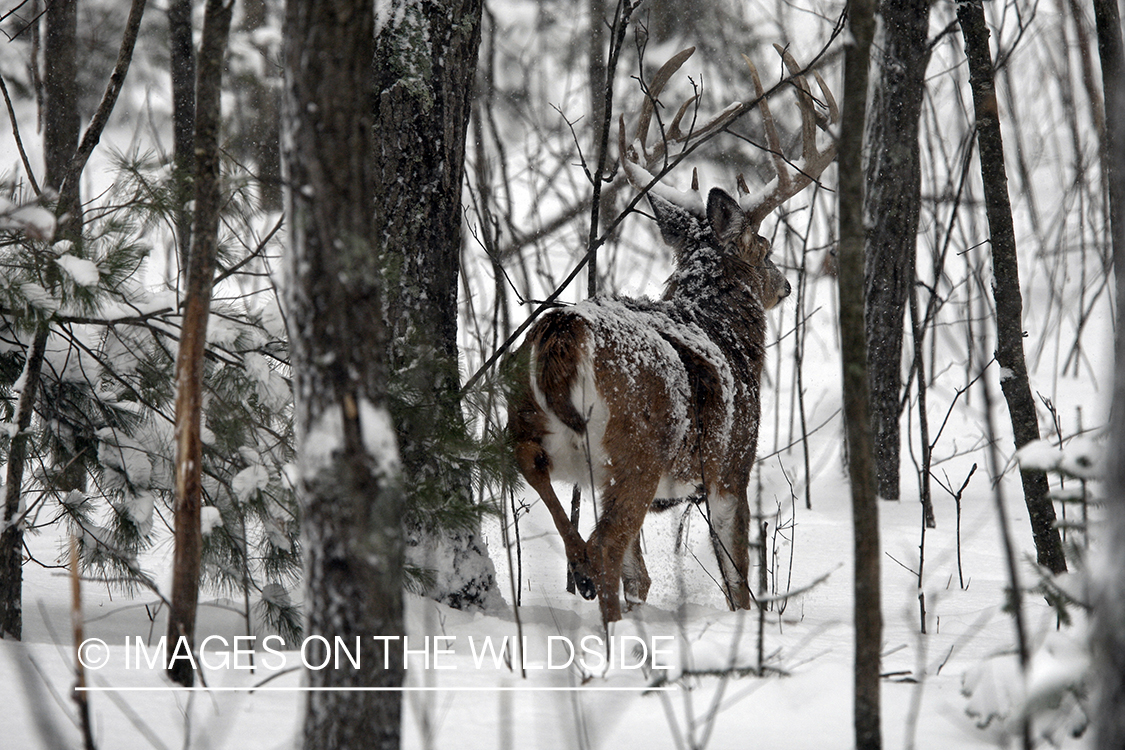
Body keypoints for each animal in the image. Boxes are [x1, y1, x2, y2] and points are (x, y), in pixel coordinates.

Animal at [508, 46, 837, 620]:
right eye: (766, 249)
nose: (786, 285)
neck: (720, 331)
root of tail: (566, 329)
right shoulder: (731, 466)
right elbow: (737, 580)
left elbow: (641, 576)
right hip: (638, 450)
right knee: (606, 547)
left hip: (539, 428)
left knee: (540, 476)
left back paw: (583, 576)